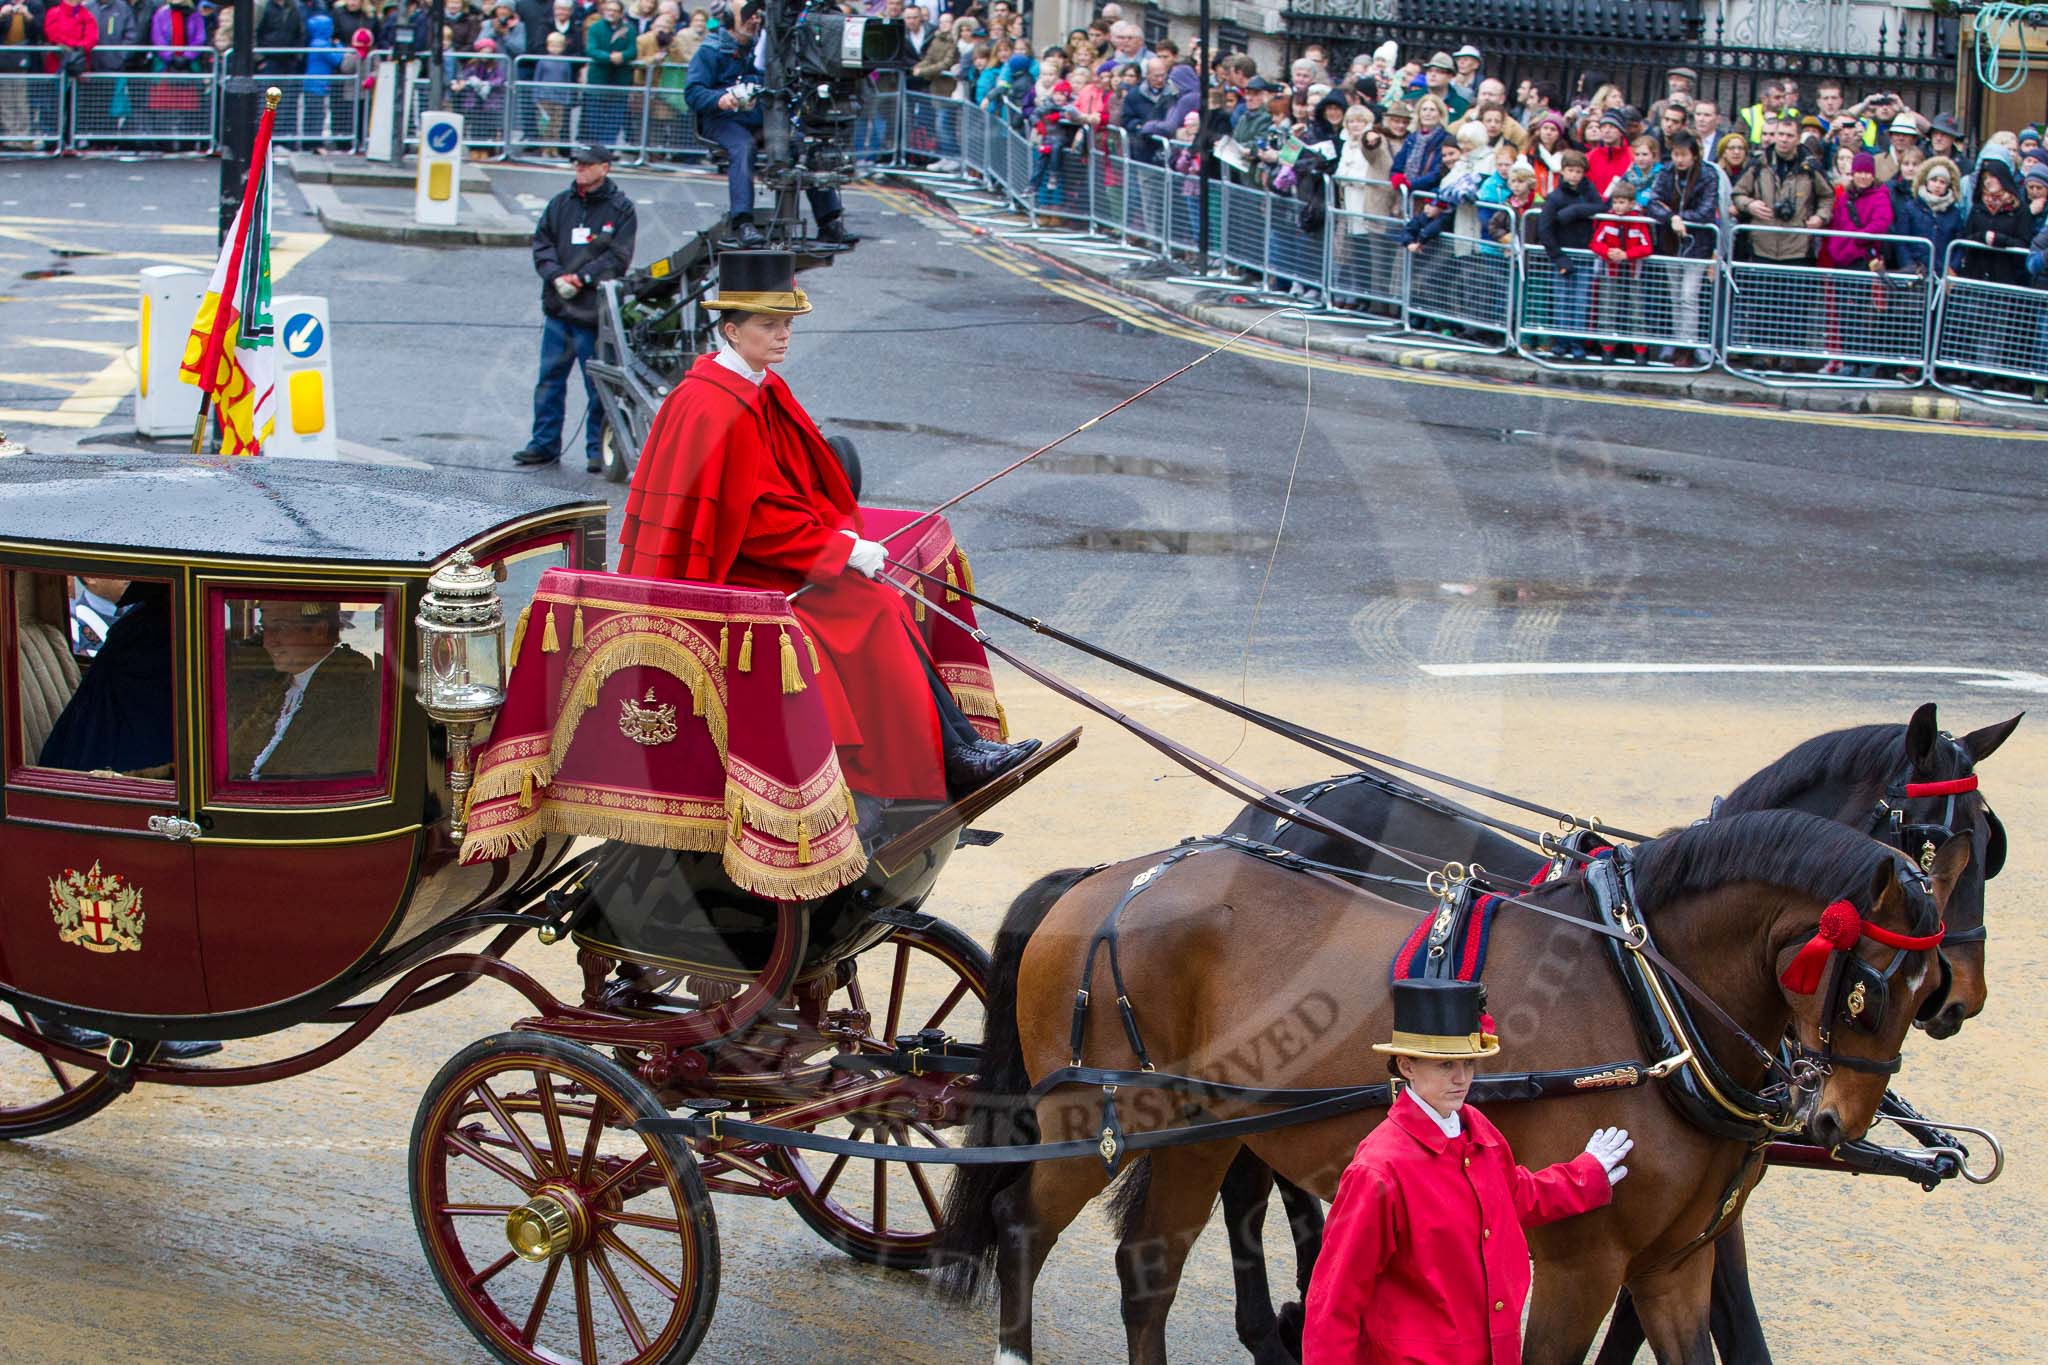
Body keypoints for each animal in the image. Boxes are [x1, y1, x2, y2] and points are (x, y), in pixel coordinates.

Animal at [942, 810, 1966, 1365]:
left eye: (1930, 989)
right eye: (1870, 987)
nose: (1835, 1119)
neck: (1645, 997)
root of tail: (1111, 876)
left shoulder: (1677, 1265)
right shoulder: (1580, 1263)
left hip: (1198, 1134)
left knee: (1147, 1268)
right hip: (1094, 1113)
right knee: (1023, 1225)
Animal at [1196, 703, 2015, 1365]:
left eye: (1990, 846)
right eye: (1936, 843)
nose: (1960, 996)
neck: (1656, 978)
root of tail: (1263, 822)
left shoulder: (1697, 1215)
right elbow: (1729, 1328)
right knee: (1246, 1182)